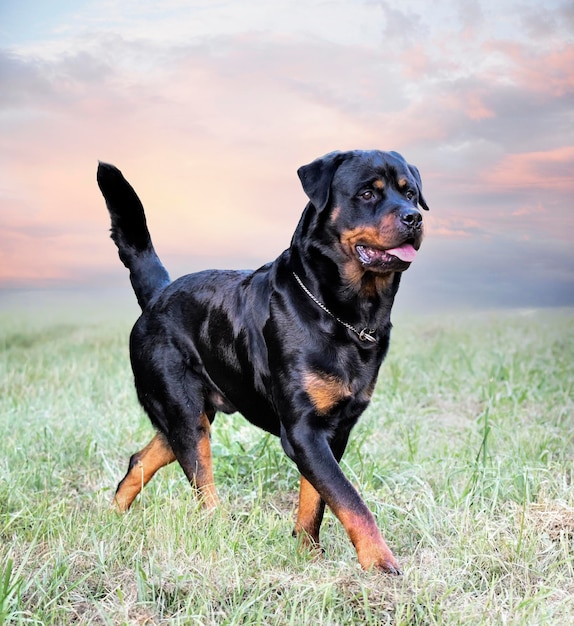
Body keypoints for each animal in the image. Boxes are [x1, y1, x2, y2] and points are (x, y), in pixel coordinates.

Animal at [97, 150, 430, 572]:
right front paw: (381, 564)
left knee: (141, 459)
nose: (414, 217)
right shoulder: (303, 429)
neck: (348, 316)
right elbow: (350, 500)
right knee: (203, 486)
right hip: (184, 413)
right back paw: (218, 532)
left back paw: (112, 517)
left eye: (411, 193)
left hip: (188, 415)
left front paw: (307, 551)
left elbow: (316, 499)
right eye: (368, 193)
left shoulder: (334, 431)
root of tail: (159, 294)